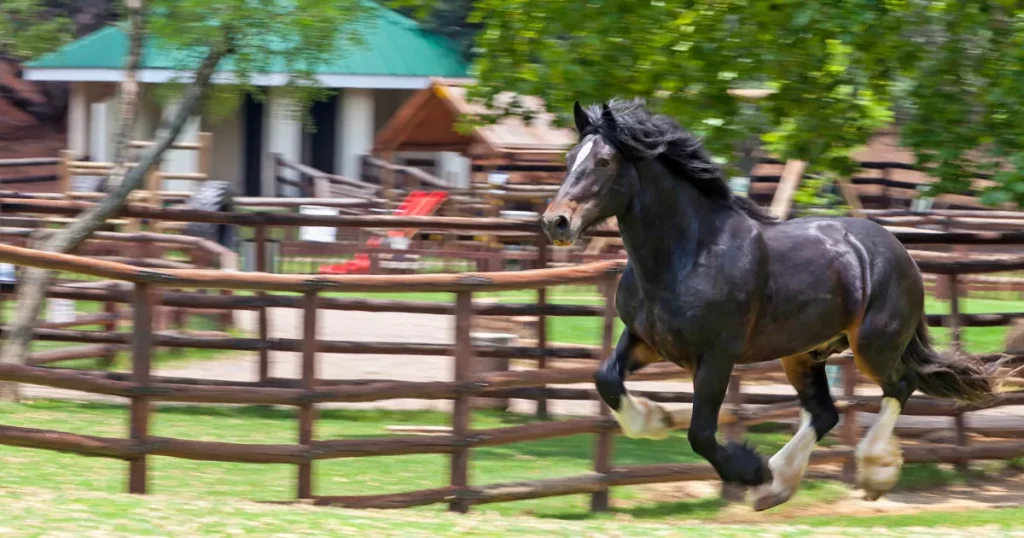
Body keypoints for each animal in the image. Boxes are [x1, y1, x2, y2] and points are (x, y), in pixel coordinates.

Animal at [544, 97, 999, 512]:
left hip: (873, 347)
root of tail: (900, 251)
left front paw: (750, 470)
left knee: (900, 387)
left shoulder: (716, 356)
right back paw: (777, 487)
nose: (555, 222)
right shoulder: (646, 340)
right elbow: (606, 379)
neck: (687, 254)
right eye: (568, 158)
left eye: (604, 161)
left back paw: (869, 473)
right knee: (824, 413)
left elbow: (700, 433)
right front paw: (656, 420)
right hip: (802, 354)